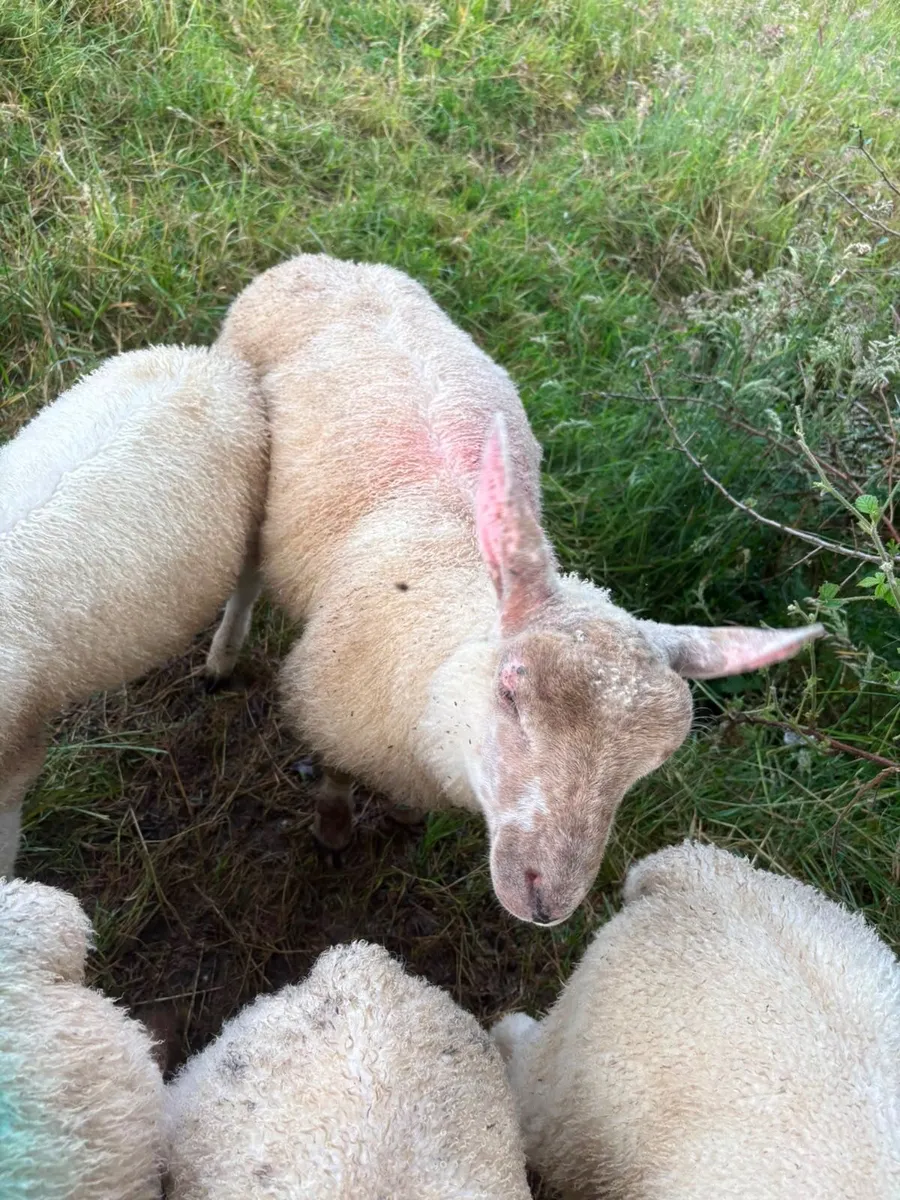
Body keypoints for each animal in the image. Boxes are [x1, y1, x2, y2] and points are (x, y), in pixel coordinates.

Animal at [209, 252, 822, 925]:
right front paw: (334, 834)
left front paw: (402, 820)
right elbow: (336, 786)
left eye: (655, 760)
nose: (546, 901)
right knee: (245, 575)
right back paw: (221, 657)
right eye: (509, 691)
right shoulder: (332, 720)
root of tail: (327, 261)